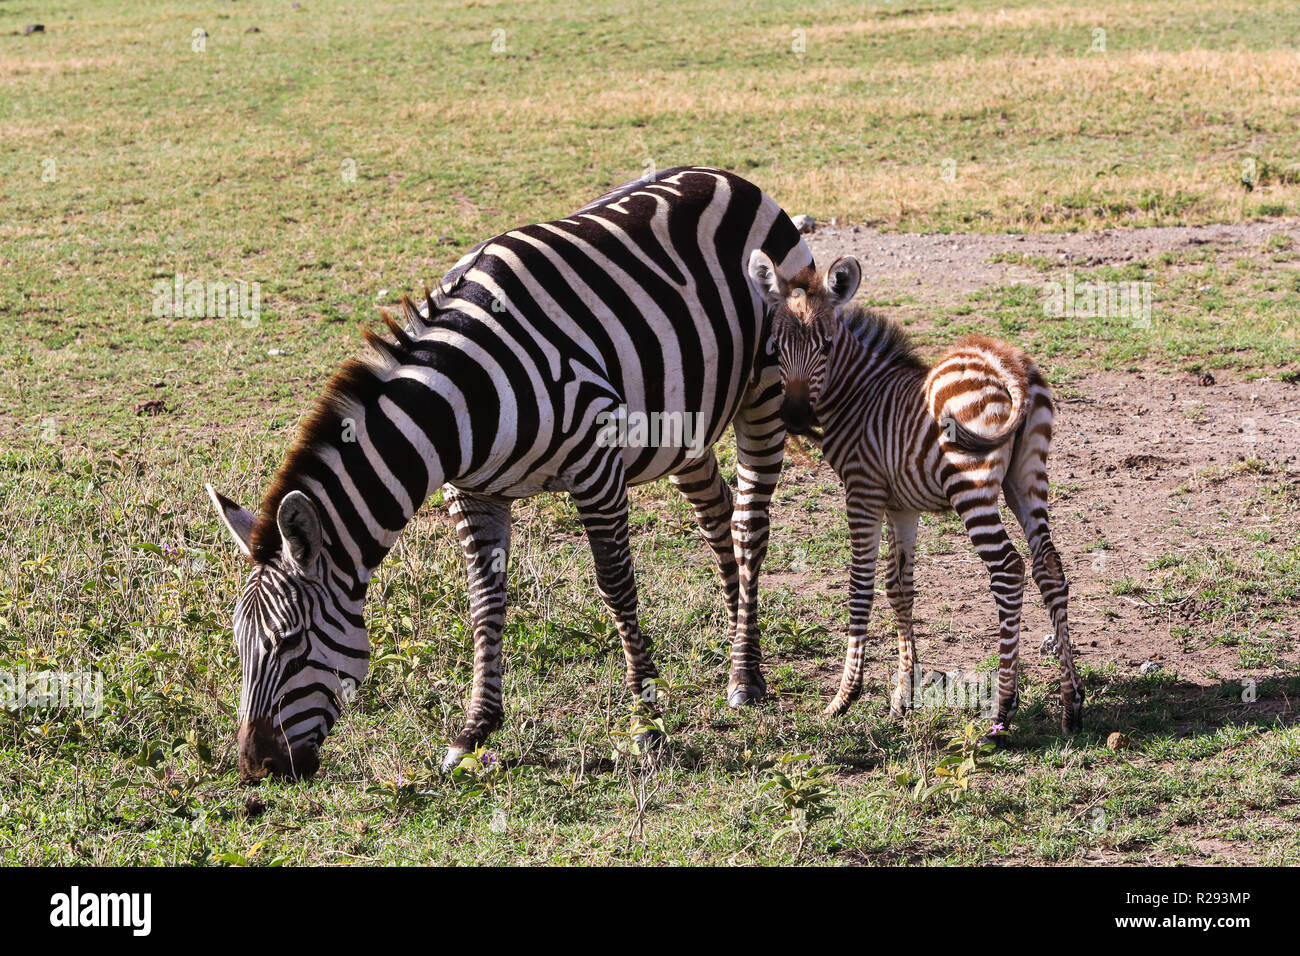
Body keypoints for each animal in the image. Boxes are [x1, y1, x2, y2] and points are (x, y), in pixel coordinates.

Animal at [206, 166, 806, 780]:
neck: (456, 404)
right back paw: (737, 641)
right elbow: (484, 601)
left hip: (765, 393)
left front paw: (646, 722)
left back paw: (746, 675)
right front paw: (473, 731)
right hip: (680, 426)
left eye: (290, 643)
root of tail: (727, 176)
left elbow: (616, 587)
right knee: (718, 513)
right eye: (238, 647)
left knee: (748, 526)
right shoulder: (474, 494)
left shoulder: (596, 465)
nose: (256, 766)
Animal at [748, 251, 1081, 738]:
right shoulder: (901, 505)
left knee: (1008, 570)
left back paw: (1003, 711)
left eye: (825, 347)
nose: (793, 417)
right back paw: (1071, 702)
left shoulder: (863, 491)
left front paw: (845, 696)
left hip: (971, 486)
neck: (859, 395)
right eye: (774, 349)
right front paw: (904, 693)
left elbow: (861, 586)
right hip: (1026, 478)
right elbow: (899, 586)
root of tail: (1008, 365)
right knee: (1049, 567)